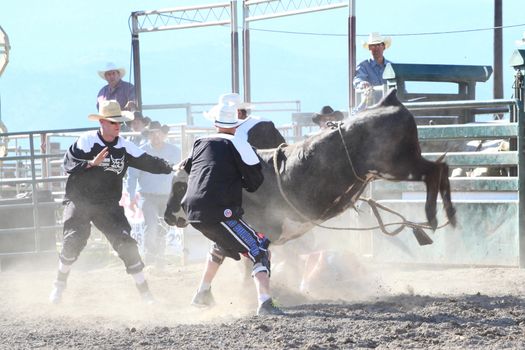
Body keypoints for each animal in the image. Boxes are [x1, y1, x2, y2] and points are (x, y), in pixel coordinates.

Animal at [164, 89, 454, 243]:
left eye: (179, 187)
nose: (167, 217)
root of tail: (388, 101)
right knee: (443, 169)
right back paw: (448, 215)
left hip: (397, 165)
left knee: (434, 171)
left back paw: (433, 215)